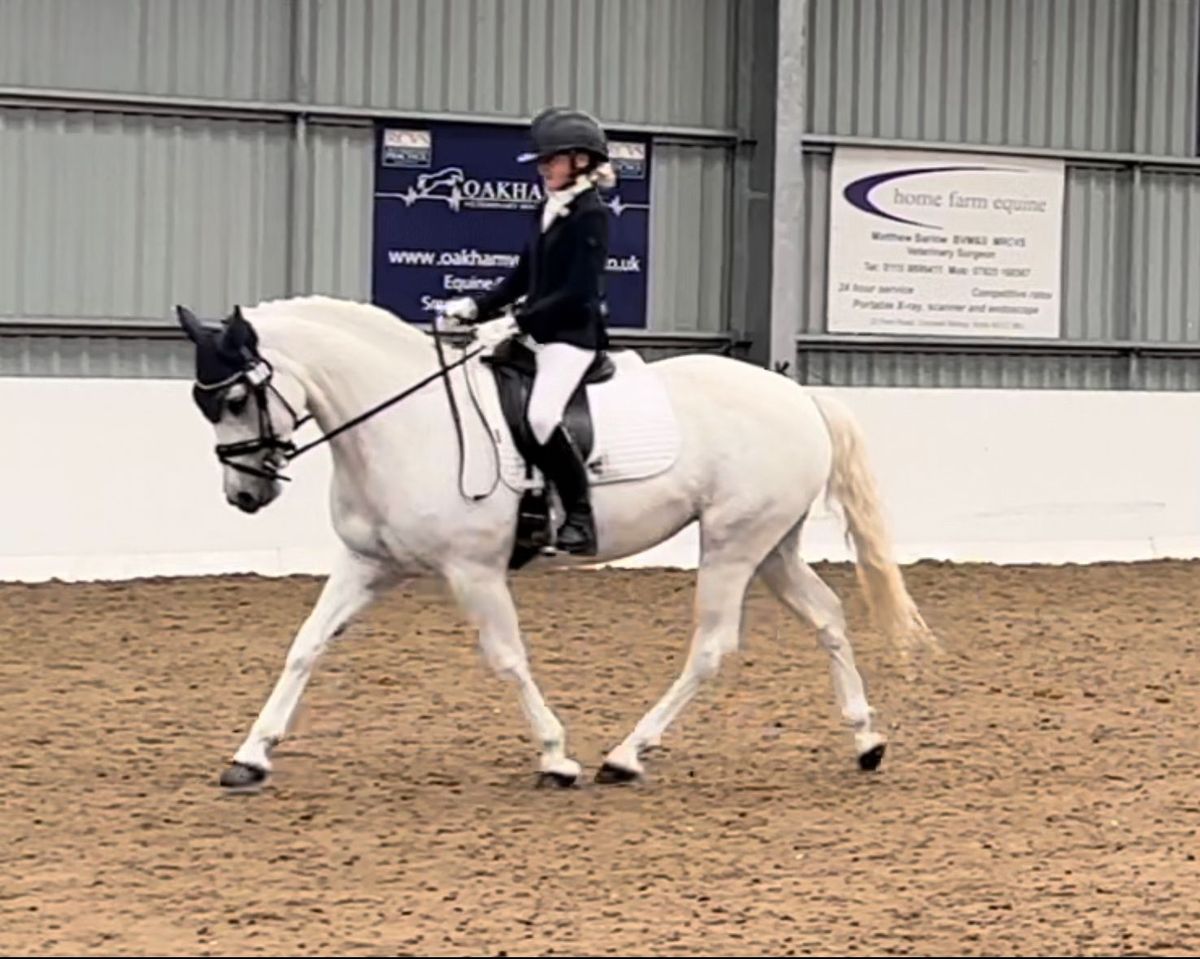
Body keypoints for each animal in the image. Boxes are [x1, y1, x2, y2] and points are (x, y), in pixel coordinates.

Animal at [174, 296, 936, 792]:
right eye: (205, 403)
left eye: (237, 398)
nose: (244, 495)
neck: (403, 421)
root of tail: (800, 396)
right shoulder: (369, 564)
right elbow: (305, 645)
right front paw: (250, 755)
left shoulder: (473, 571)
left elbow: (508, 659)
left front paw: (555, 757)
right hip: (771, 545)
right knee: (828, 616)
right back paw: (867, 741)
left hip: (733, 543)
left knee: (713, 645)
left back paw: (626, 755)